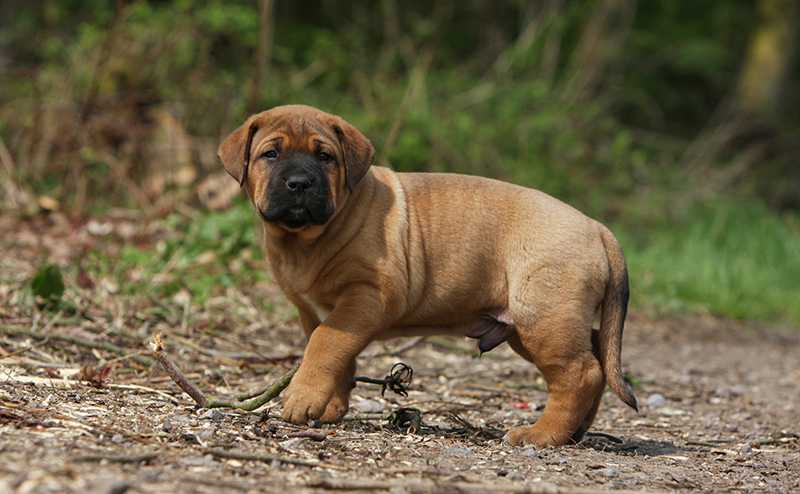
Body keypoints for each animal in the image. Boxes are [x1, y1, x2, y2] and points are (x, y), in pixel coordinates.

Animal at [219, 105, 636, 448]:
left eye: (325, 157)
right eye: (270, 155)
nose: (300, 183)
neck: (307, 238)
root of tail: (597, 227)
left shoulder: (368, 296)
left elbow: (325, 345)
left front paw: (302, 398)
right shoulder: (313, 310)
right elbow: (336, 355)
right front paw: (329, 405)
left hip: (542, 316)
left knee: (580, 372)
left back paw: (542, 434)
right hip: (538, 322)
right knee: (598, 355)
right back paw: (575, 430)